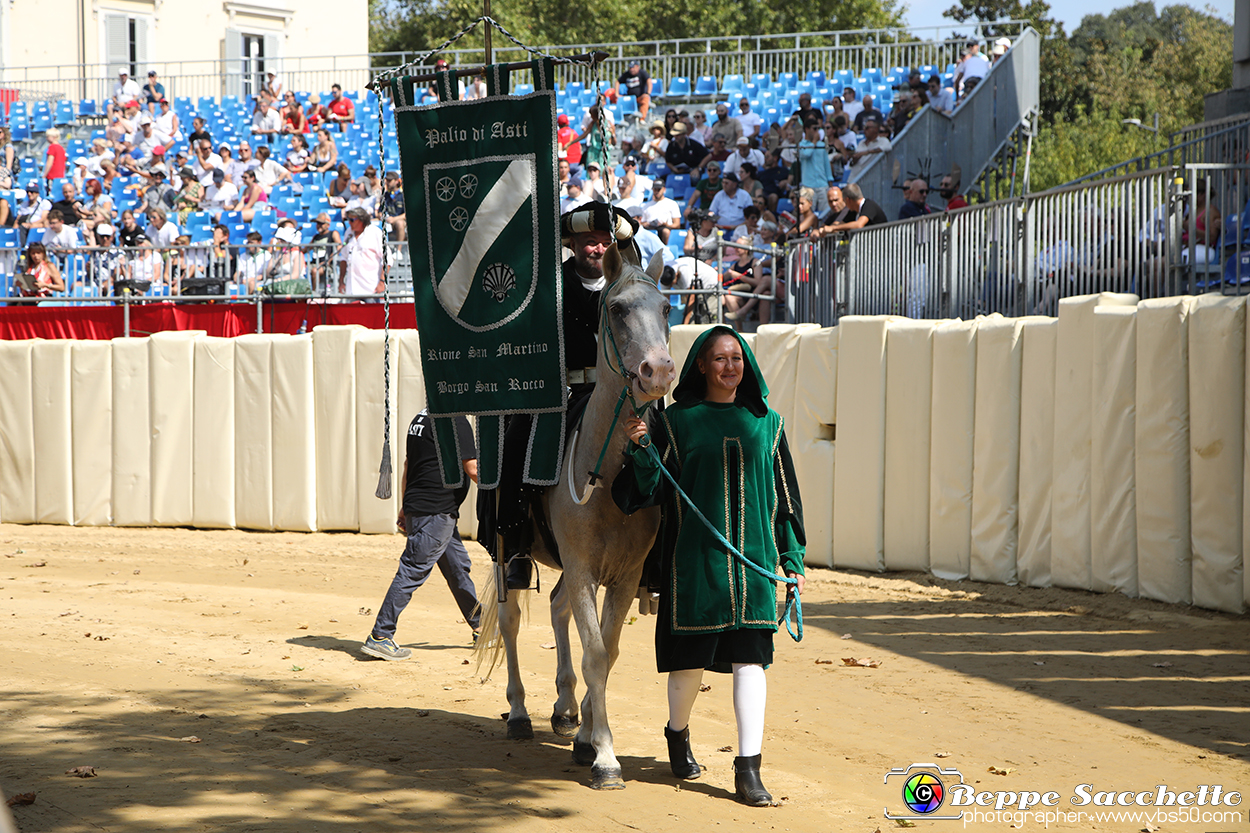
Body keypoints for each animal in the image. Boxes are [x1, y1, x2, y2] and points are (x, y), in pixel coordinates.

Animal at [477, 243, 675, 790]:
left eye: (667, 307)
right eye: (617, 309)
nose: (658, 371)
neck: (607, 477)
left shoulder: (624, 576)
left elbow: (607, 651)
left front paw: (588, 737)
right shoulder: (585, 569)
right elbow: (596, 654)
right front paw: (605, 757)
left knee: (556, 607)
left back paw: (566, 709)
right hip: (508, 551)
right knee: (512, 620)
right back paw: (520, 713)